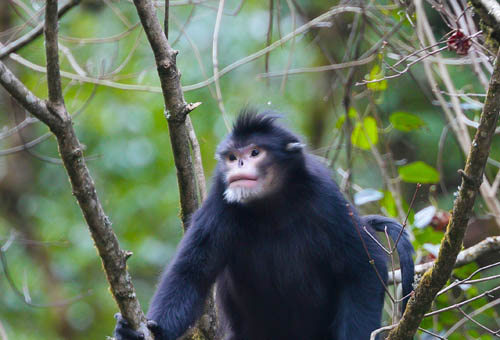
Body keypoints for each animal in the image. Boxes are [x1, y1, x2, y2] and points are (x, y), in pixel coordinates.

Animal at [114, 109, 414, 340]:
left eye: (254, 152)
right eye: (232, 157)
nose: (239, 164)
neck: (271, 207)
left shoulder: (325, 196)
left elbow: (364, 268)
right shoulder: (220, 199)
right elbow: (190, 273)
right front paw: (148, 331)